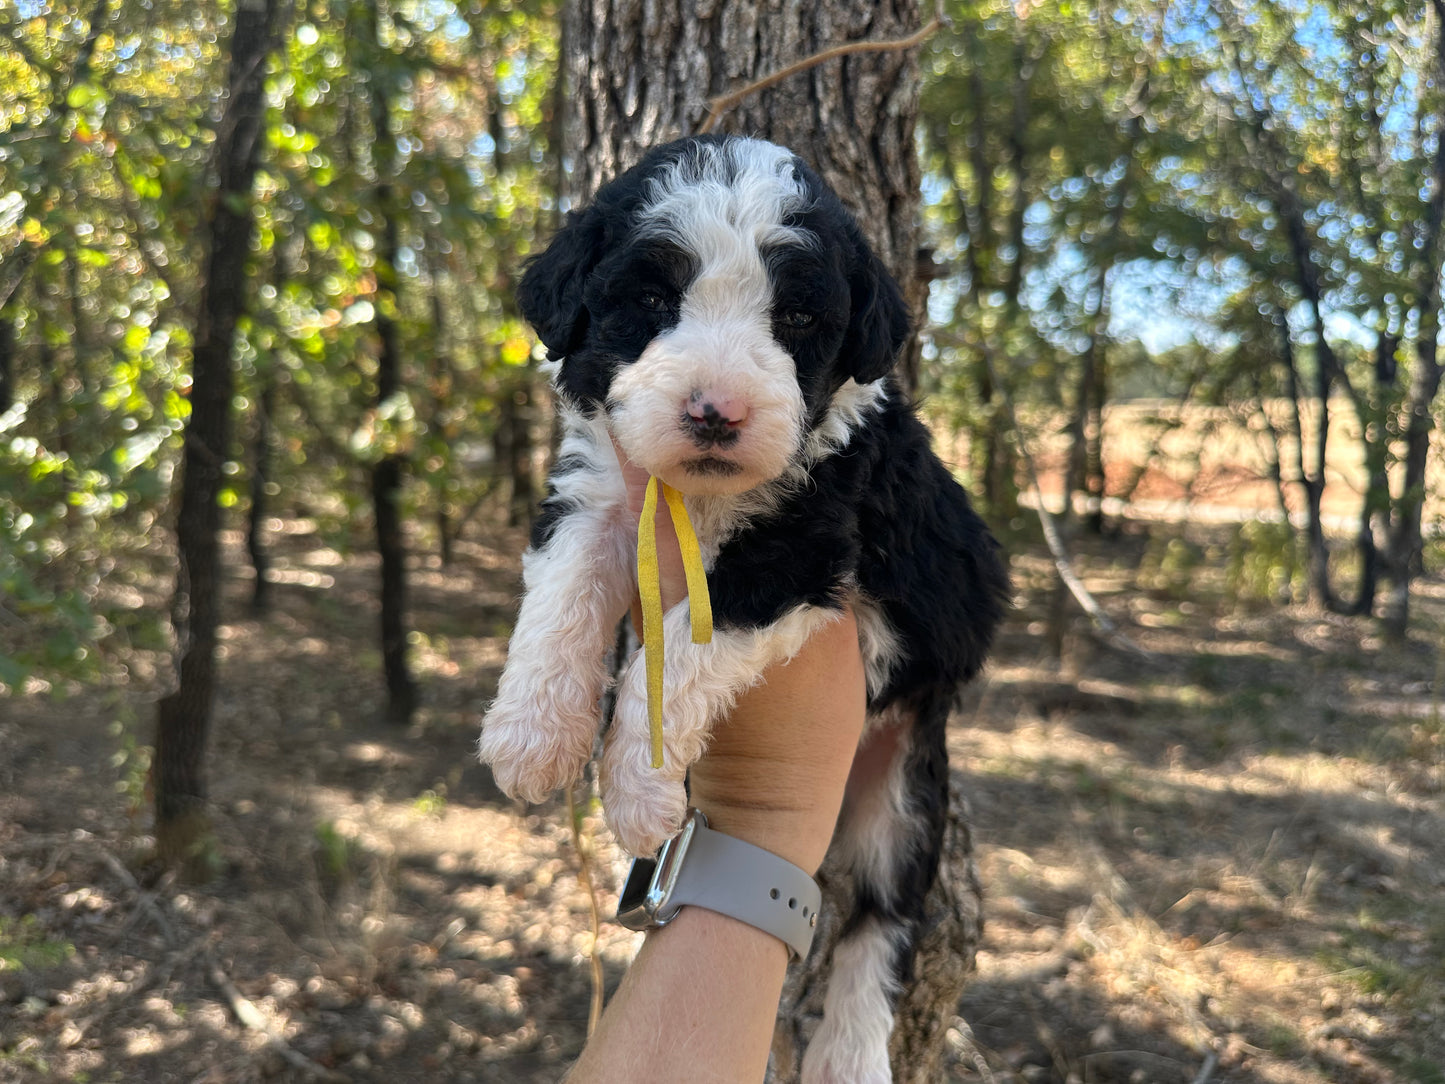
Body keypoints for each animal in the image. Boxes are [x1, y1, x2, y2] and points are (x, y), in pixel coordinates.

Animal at [479, 138, 1011, 1084]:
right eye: (652, 300)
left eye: (794, 316)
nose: (714, 412)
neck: (698, 498)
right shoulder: (597, 495)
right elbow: (561, 595)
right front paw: (532, 734)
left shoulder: (802, 550)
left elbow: (681, 650)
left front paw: (637, 785)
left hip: (906, 792)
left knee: (883, 923)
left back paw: (849, 1053)